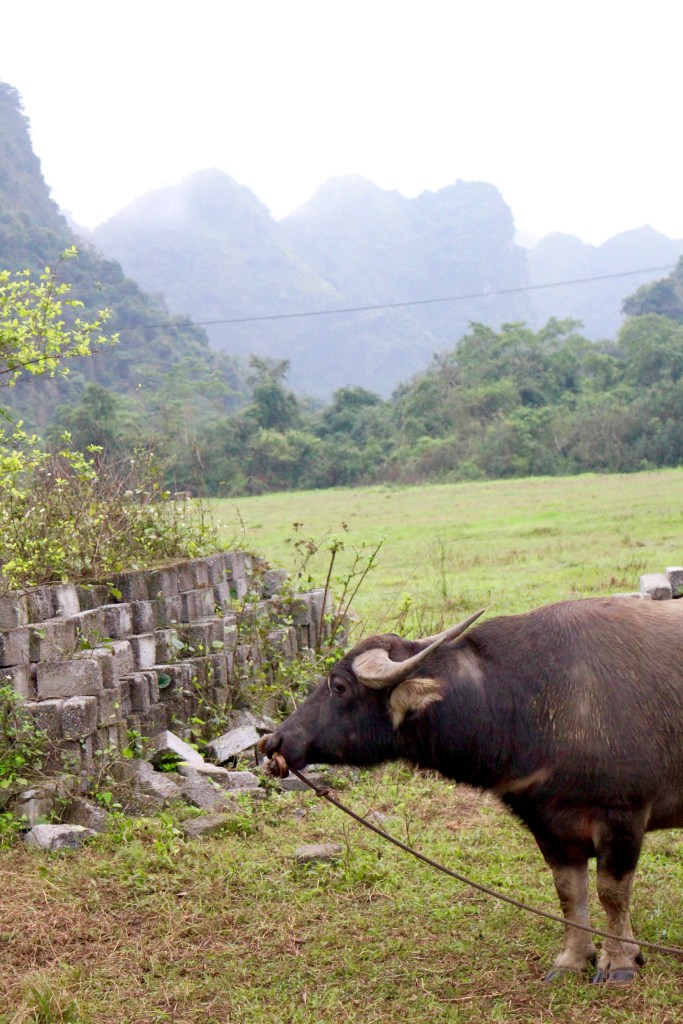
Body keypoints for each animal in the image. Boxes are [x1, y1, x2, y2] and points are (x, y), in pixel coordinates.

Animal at [264, 597, 683, 983]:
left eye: (339, 686)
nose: (275, 741)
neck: (528, 697)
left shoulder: (623, 815)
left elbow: (611, 893)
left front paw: (620, 962)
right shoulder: (546, 822)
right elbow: (569, 893)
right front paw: (573, 959)